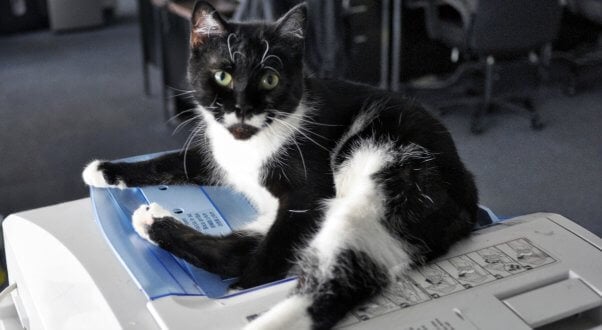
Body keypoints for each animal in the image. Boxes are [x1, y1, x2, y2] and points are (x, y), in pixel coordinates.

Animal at [83, 1, 478, 328]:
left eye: (270, 79)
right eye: (222, 75)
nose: (243, 108)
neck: (251, 144)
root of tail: (469, 205)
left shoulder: (308, 189)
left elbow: (274, 253)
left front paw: (251, 285)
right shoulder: (222, 157)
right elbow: (171, 161)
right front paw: (104, 170)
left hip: (390, 186)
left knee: (330, 279)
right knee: (236, 251)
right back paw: (150, 221)